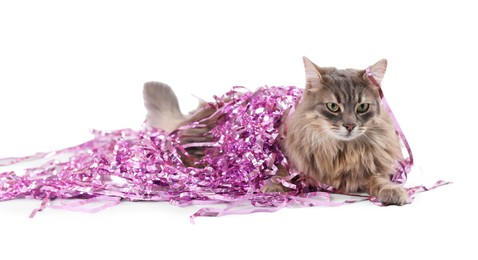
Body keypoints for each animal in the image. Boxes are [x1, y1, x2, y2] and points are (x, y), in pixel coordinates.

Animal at [142, 57, 408, 205]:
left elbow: (379, 180)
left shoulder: (372, 169)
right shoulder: (288, 158)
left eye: (362, 107)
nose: (350, 125)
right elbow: (282, 173)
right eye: (333, 106)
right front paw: (272, 186)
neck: (340, 151)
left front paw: (393, 191)